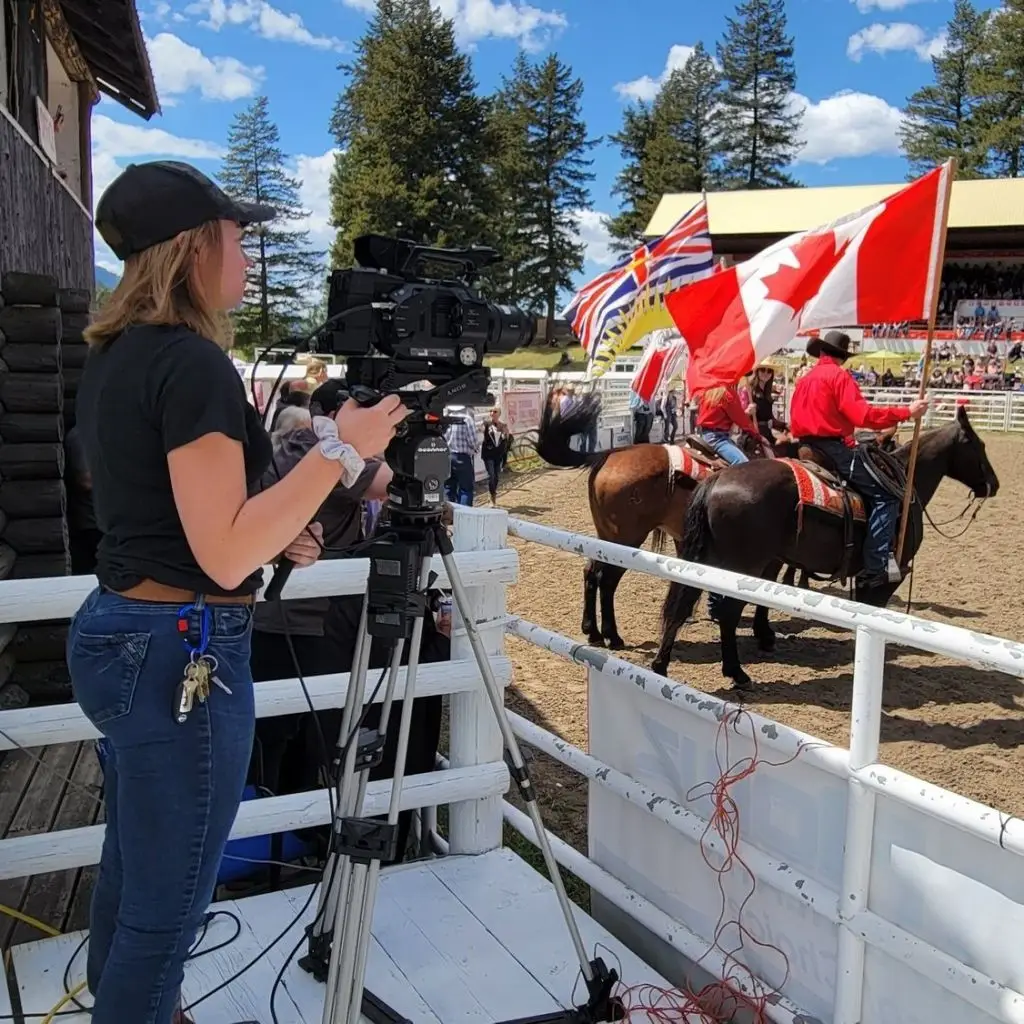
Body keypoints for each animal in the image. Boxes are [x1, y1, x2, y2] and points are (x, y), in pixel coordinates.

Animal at [536, 391, 774, 647]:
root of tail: (608, 455)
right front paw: (763, 631)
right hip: (625, 540)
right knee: (606, 580)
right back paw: (612, 635)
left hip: (605, 538)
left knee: (590, 572)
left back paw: (592, 631)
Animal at [651, 405, 995, 688]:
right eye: (978, 445)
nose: (994, 484)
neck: (906, 485)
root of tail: (716, 479)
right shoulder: (888, 575)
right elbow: (873, 613)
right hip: (742, 566)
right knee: (728, 614)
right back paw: (736, 672)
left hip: (706, 561)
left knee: (682, 605)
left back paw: (661, 665)